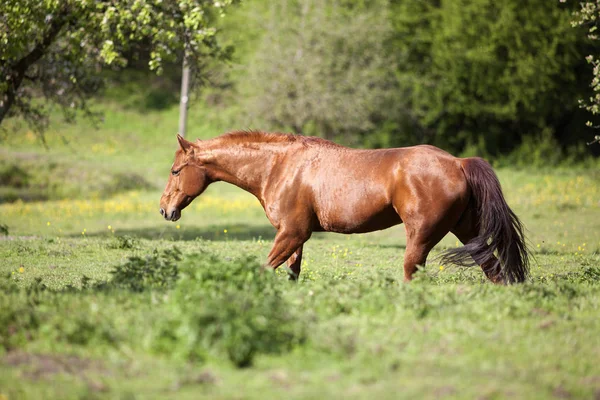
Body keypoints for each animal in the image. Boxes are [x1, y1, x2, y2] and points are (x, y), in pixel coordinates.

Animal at [161, 130, 528, 282]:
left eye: (175, 170)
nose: (165, 210)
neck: (280, 166)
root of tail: (458, 162)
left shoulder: (291, 233)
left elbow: (266, 268)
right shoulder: (296, 237)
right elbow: (292, 273)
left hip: (422, 236)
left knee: (413, 273)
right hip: (466, 232)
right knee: (495, 271)